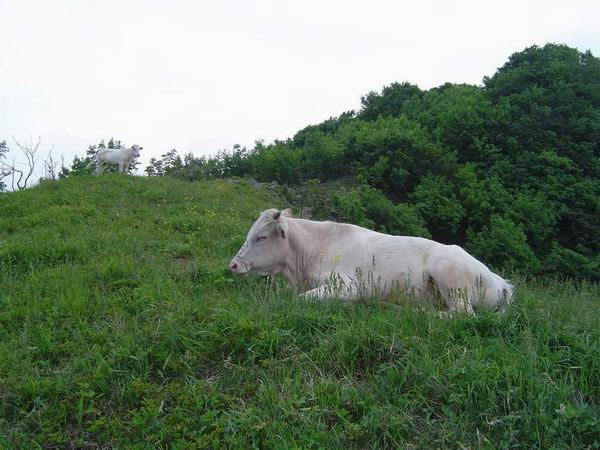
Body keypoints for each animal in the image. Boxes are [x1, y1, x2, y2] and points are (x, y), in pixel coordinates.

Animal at [229, 208, 514, 315]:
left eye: (261, 237)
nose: (233, 264)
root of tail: (501, 282)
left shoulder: (347, 285)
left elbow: (300, 299)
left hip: (449, 274)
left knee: (460, 313)